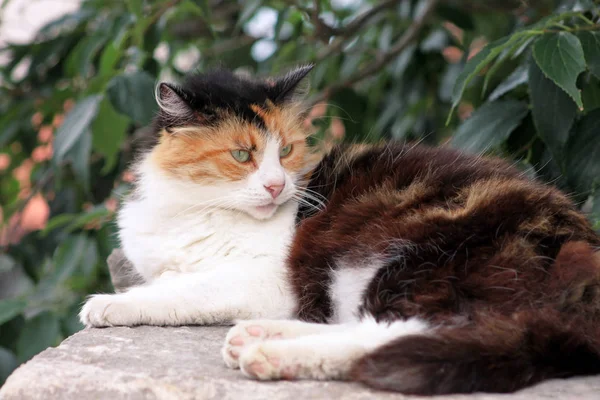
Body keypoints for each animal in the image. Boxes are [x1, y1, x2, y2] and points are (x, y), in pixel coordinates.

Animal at [82, 65, 322, 328]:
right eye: (240, 155)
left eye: (285, 150)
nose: (276, 186)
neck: (197, 213)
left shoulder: (270, 280)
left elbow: (185, 288)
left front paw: (106, 304)